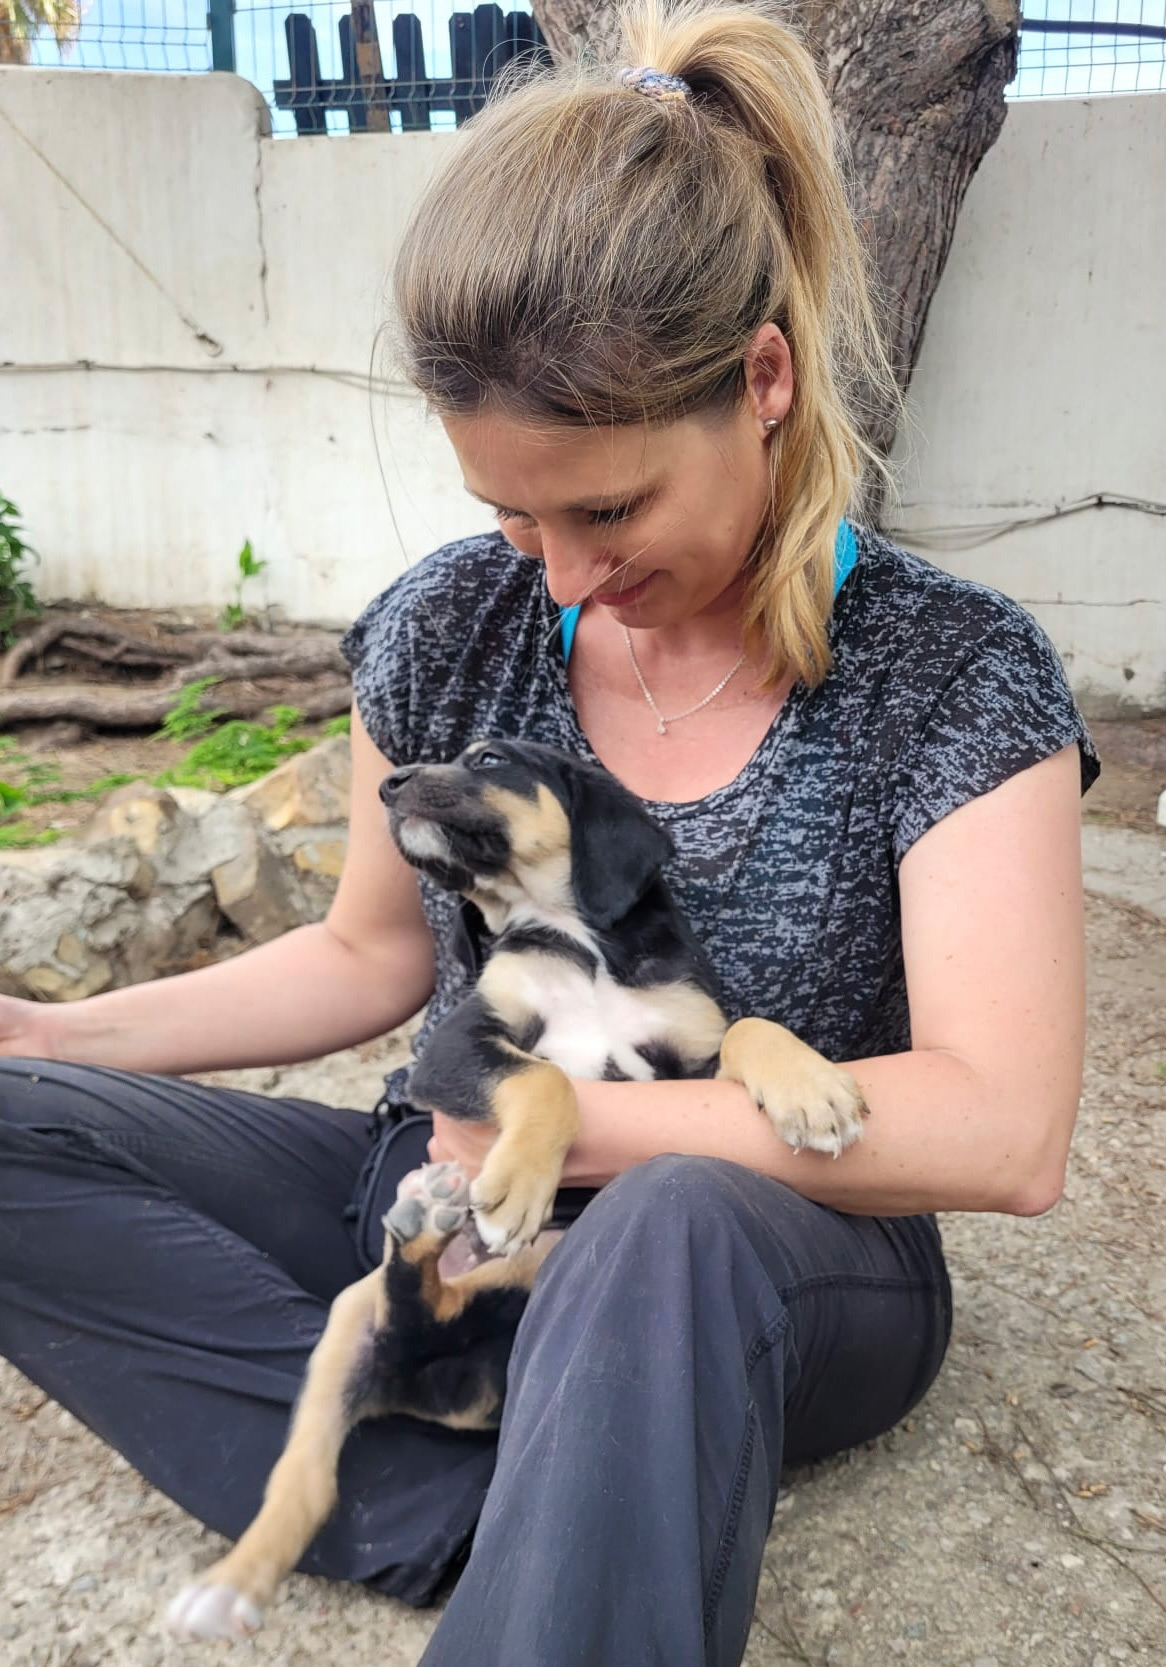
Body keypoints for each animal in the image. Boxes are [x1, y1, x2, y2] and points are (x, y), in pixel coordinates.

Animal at [166, 743, 867, 1640]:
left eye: (490, 757)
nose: (389, 783)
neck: (569, 938)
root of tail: (431, 1368)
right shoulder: (457, 1046)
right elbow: (545, 1079)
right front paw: (514, 1187)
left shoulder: (690, 1061)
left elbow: (748, 1026)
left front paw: (812, 1090)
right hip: (345, 1330)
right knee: (307, 1478)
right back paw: (227, 1585)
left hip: (526, 1279)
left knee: (432, 1313)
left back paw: (427, 1235)